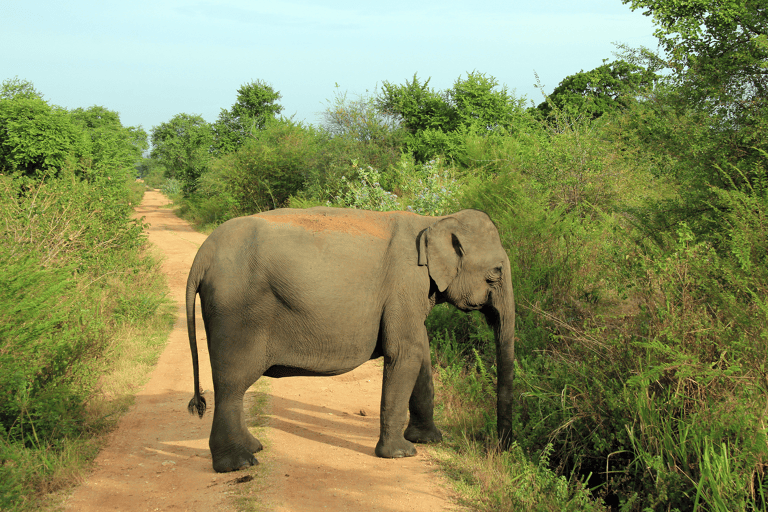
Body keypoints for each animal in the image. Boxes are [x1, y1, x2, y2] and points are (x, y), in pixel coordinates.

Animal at [186, 206, 515, 473]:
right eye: (496, 272)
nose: (499, 449)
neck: (431, 221)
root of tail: (202, 255)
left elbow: (420, 353)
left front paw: (429, 440)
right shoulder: (406, 283)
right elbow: (404, 353)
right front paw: (401, 454)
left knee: (233, 387)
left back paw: (253, 449)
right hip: (236, 311)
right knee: (231, 384)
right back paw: (239, 464)